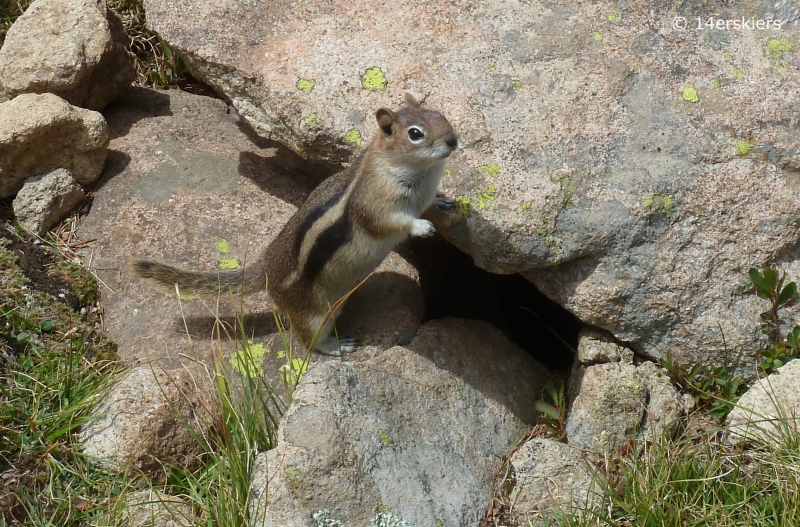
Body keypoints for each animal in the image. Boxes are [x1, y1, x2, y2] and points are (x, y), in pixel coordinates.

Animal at [131, 93, 456, 356]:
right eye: (415, 134)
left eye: (441, 114)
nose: (453, 140)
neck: (418, 172)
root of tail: (266, 270)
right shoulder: (375, 204)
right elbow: (388, 224)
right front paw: (422, 227)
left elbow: (429, 203)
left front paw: (443, 203)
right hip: (313, 313)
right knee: (308, 339)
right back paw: (336, 346)